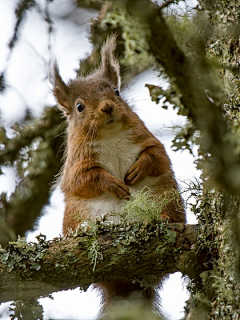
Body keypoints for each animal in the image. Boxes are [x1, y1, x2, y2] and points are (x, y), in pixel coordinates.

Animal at [51, 37, 186, 308]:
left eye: (116, 92)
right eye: (79, 107)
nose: (107, 107)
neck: (110, 135)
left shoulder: (150, 141)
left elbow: (157, 157)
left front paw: (138, 169)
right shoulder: (76, 164)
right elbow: (82, 180)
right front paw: (113, 184)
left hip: (167, 196)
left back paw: (163, 219)